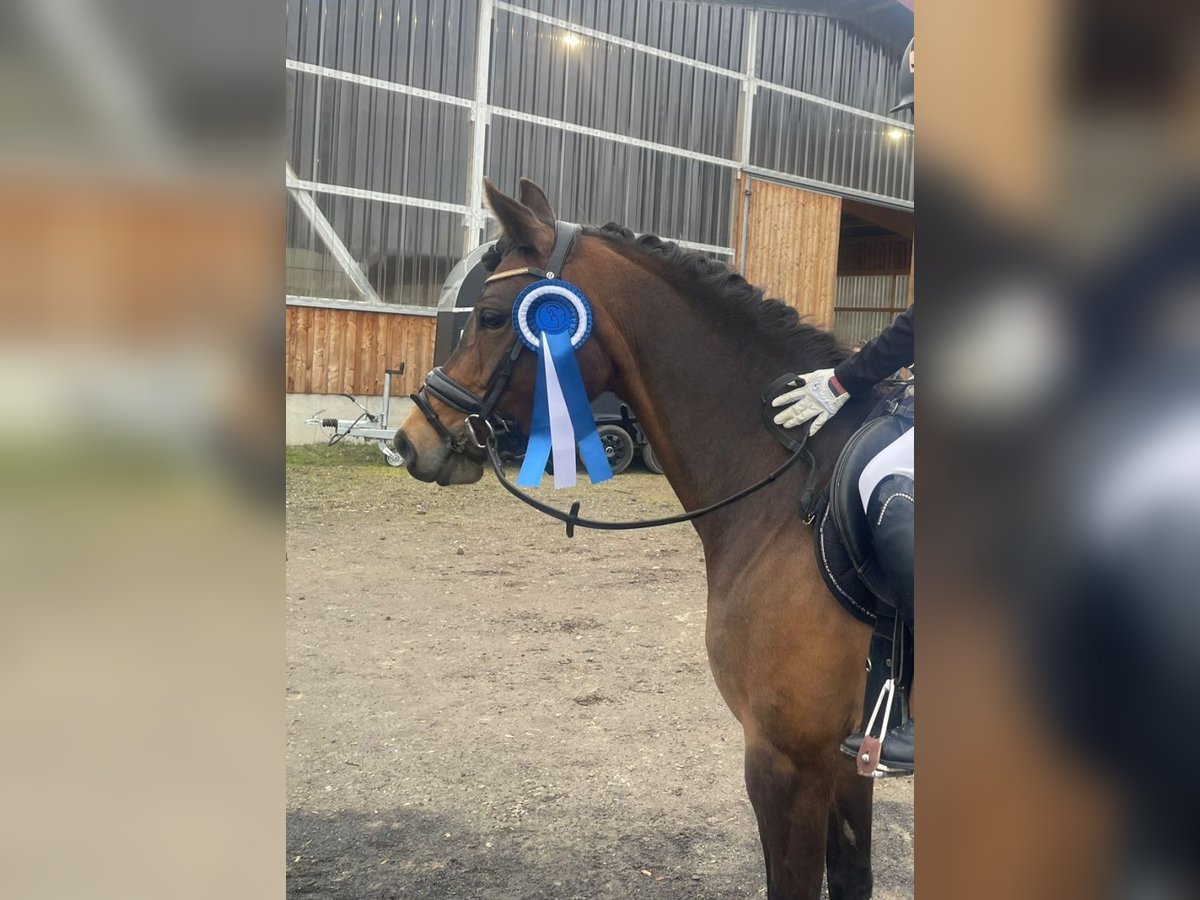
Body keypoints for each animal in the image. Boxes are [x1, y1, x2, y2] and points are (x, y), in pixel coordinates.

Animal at [396, 180, 892, 897]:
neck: (794, 487)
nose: (412, 440)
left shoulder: (788, 762)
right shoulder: (848, 761)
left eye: (489, 317)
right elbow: (852, 877)